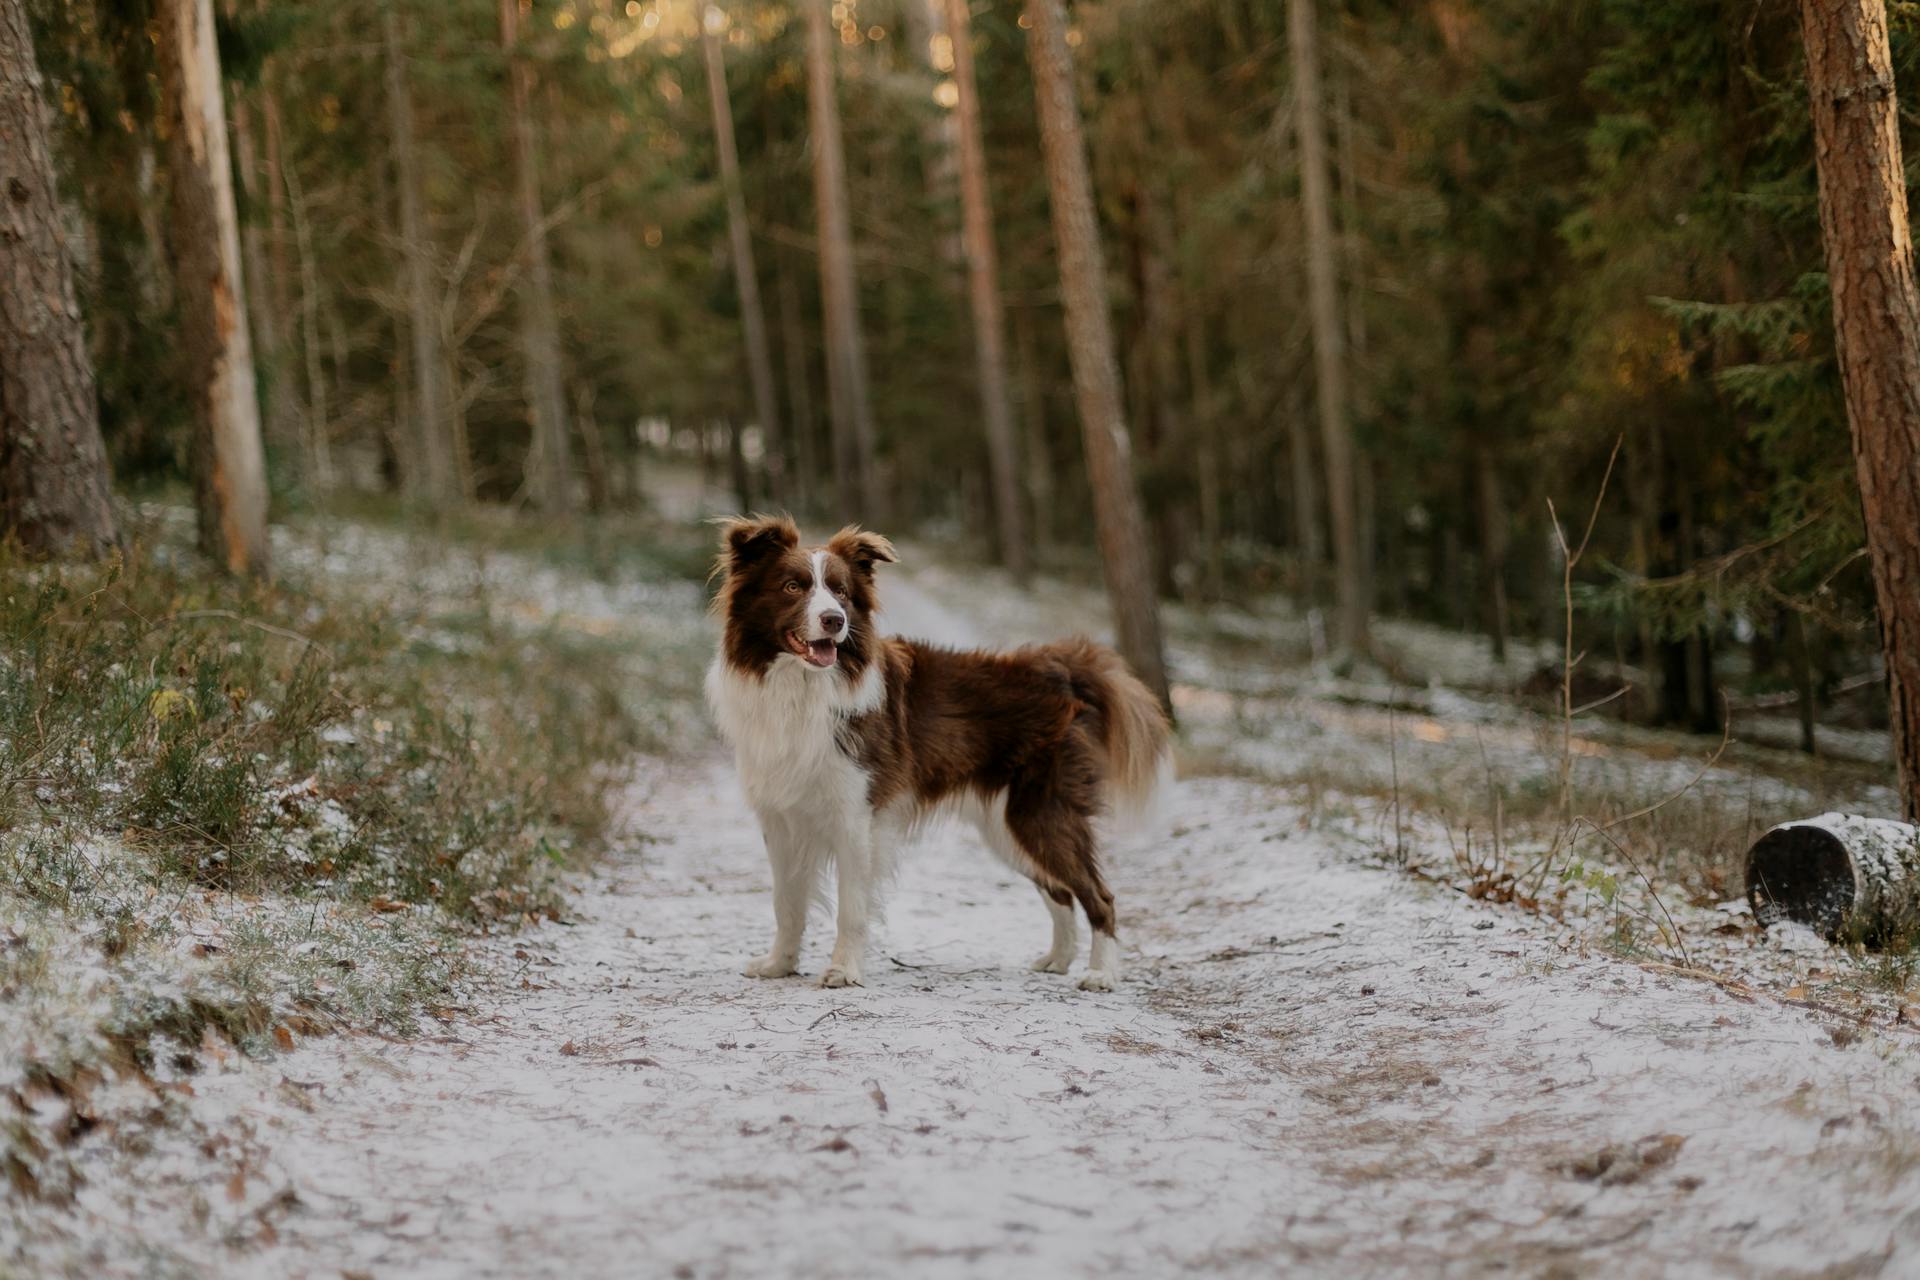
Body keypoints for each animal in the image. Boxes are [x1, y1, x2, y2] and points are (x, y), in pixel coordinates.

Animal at [706, 514, 1167, 997]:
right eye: (792, 586)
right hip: (1007, 826)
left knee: (1099, 895)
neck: (801, 685)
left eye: (842, 592)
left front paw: (844, 970)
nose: (834, 620)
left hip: (1042, 813)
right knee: (1058, 891)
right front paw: (779, 963)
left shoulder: (855, 815)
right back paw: (1058, 960)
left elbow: (851, 906)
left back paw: (1101, 974)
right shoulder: (780, 818)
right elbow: (786, 902)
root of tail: (1061, 669)